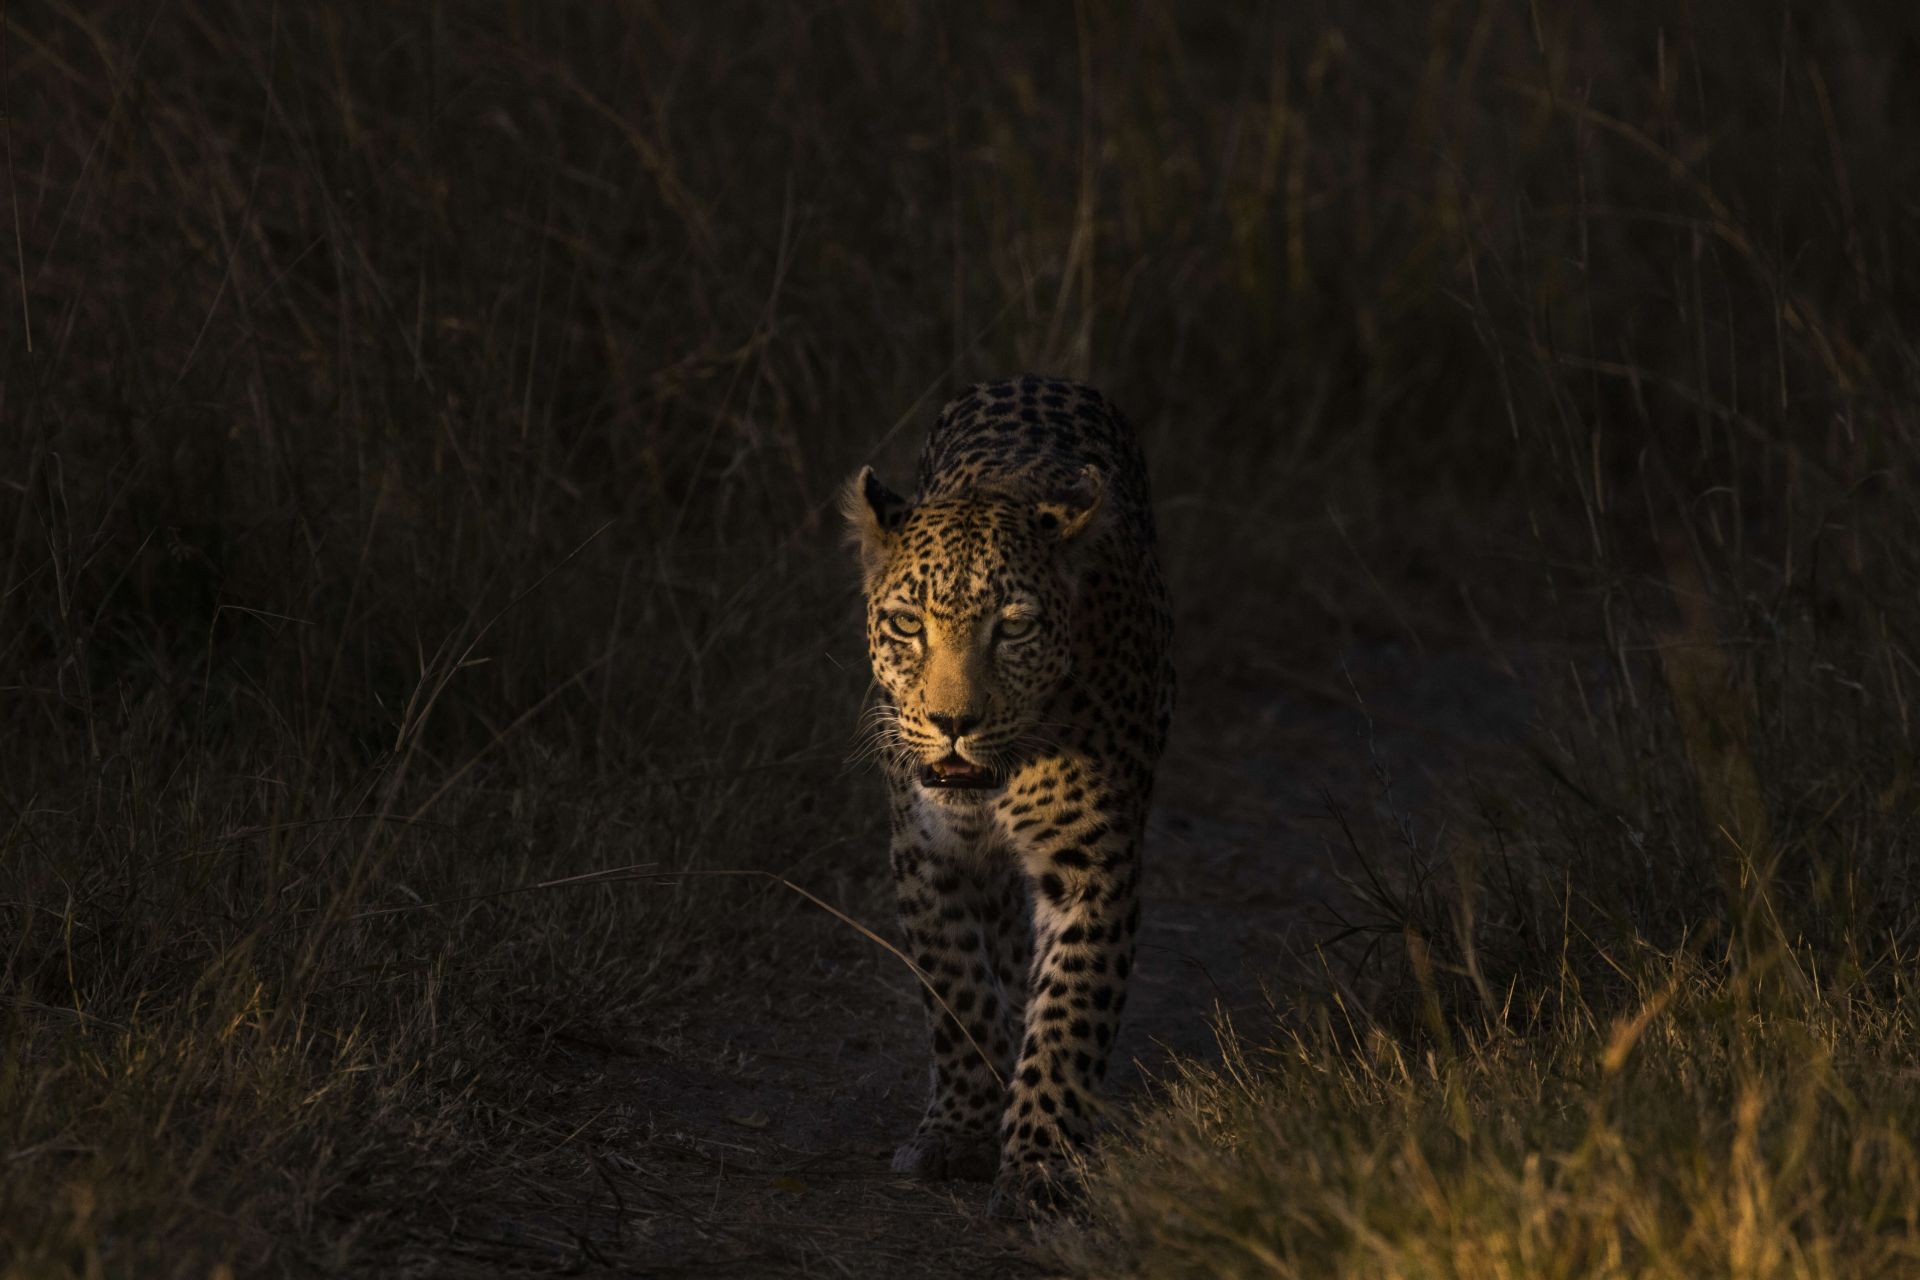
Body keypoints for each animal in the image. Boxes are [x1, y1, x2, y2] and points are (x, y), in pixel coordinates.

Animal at [841, 374, 1174, 1215]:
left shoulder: (1092, 865)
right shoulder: (926, 854)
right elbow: (957, 991)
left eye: (1015, 629)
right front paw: (961, 1127)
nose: (953, 723)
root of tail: (1037, 376)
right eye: (906, 625)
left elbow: (1069, 1012)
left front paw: (1041, 1159)